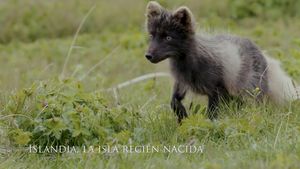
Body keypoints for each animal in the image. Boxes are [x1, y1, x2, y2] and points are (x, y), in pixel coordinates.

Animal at [145, 0, 298, 123]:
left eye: (168, 37)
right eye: (152, 36)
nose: (148, 55)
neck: (186, 65)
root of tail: (263, 54)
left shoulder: (216, 89)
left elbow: (212, 112)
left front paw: (211, 125)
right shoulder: (181, 82)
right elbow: (173, 101)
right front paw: (182, 116)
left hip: (251, 90)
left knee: (258, 106)